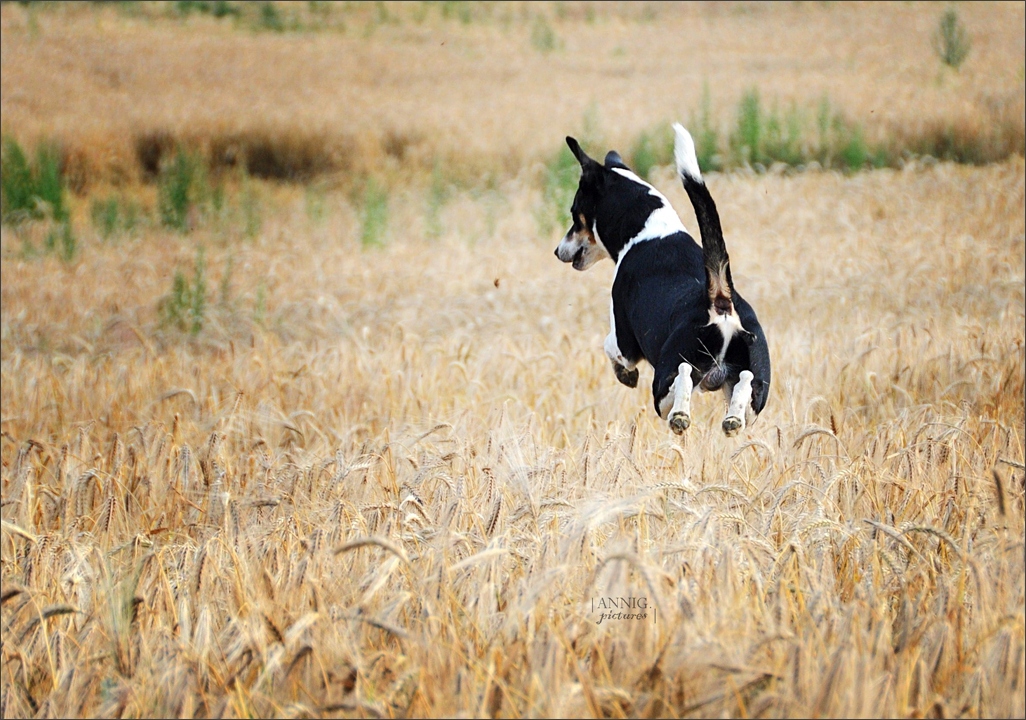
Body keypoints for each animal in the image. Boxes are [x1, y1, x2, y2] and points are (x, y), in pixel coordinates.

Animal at [554, 124, 771, 436]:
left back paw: (680, 416)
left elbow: (609, 346)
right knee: (743, 384)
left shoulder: (623, 342)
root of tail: (720, 301)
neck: (649, 228)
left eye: (574, 213)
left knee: (682, 376)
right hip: (755, 389)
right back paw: (731, 420)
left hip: (664, 383)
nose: (557, 250)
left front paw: (626, 375)